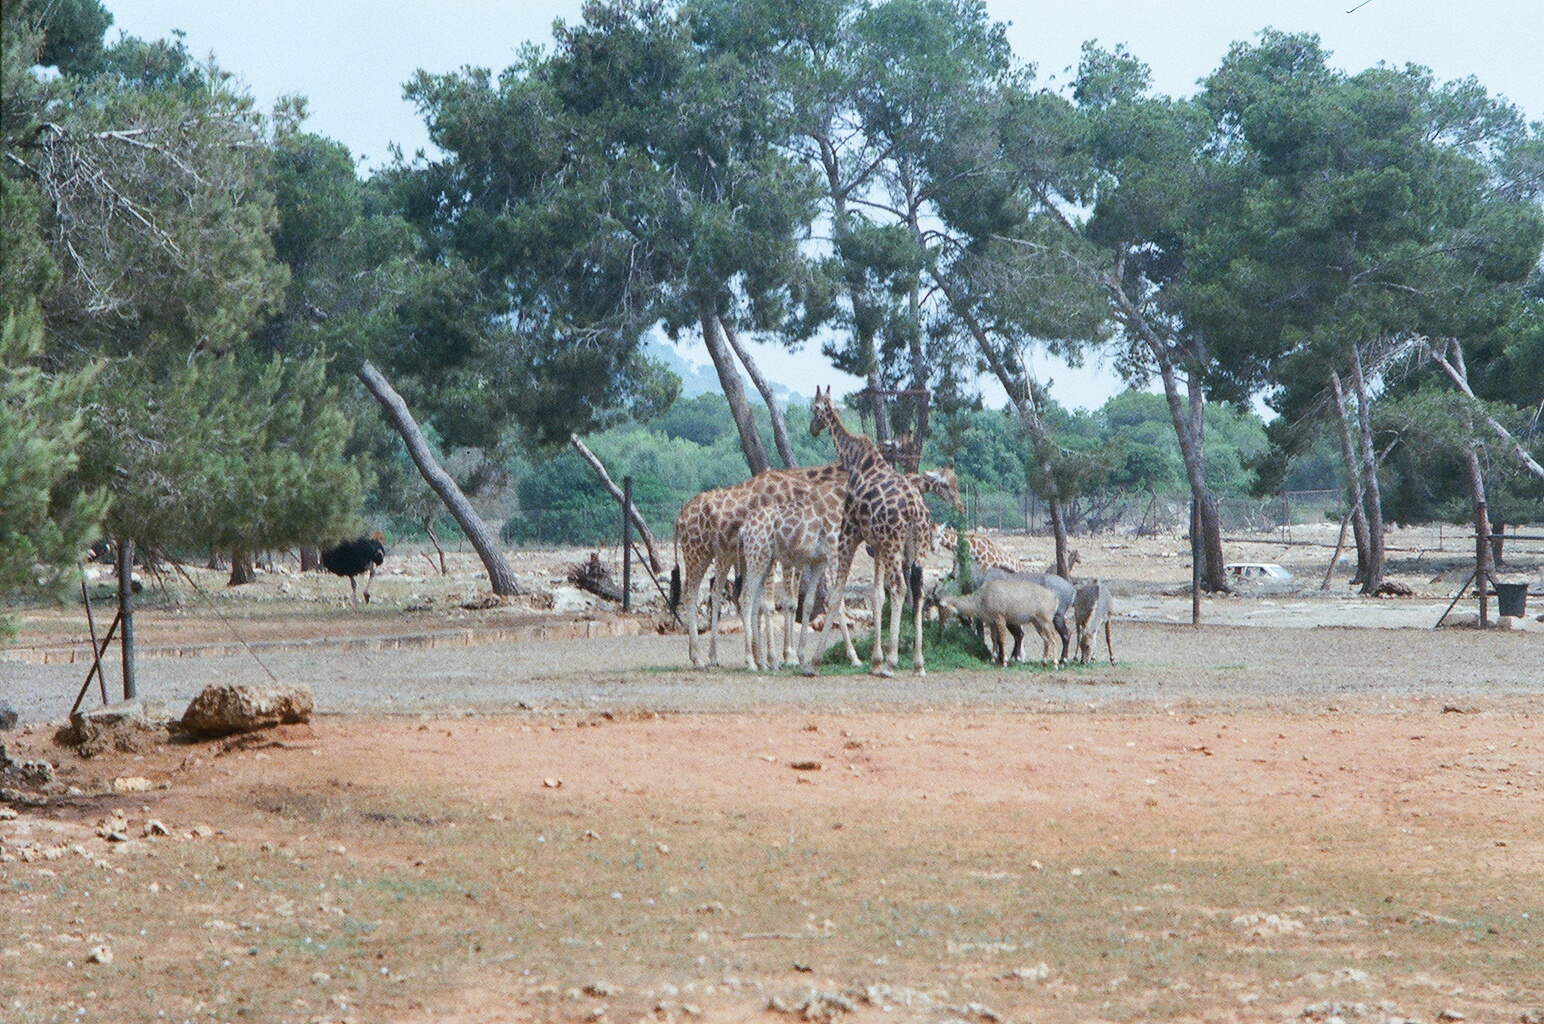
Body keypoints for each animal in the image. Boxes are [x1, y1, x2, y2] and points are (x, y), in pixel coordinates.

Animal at [670, 462, 846, 668]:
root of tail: (679, 519)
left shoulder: (793, 557)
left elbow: (789, 602)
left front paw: (773, 656)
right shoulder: (781, 556)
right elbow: (771, 604)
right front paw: (780, 657)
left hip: (721, 556)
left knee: (714, 593)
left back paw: (710, 656)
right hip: (697, 552)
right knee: (690, 595)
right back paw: (698, 658)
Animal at [808, 386, 935, 676]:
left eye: (813, 408)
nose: (812, 429)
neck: (854, 461)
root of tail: (916, 512)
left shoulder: (849, 534)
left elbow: (836, 595)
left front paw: (814, 662)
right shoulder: (875, 545)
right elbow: (877, 595)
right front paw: (874, 660)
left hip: (893, 543)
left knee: (900, 588)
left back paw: (892, 662)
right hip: (915, 546)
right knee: (918, 591)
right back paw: (917, 663)